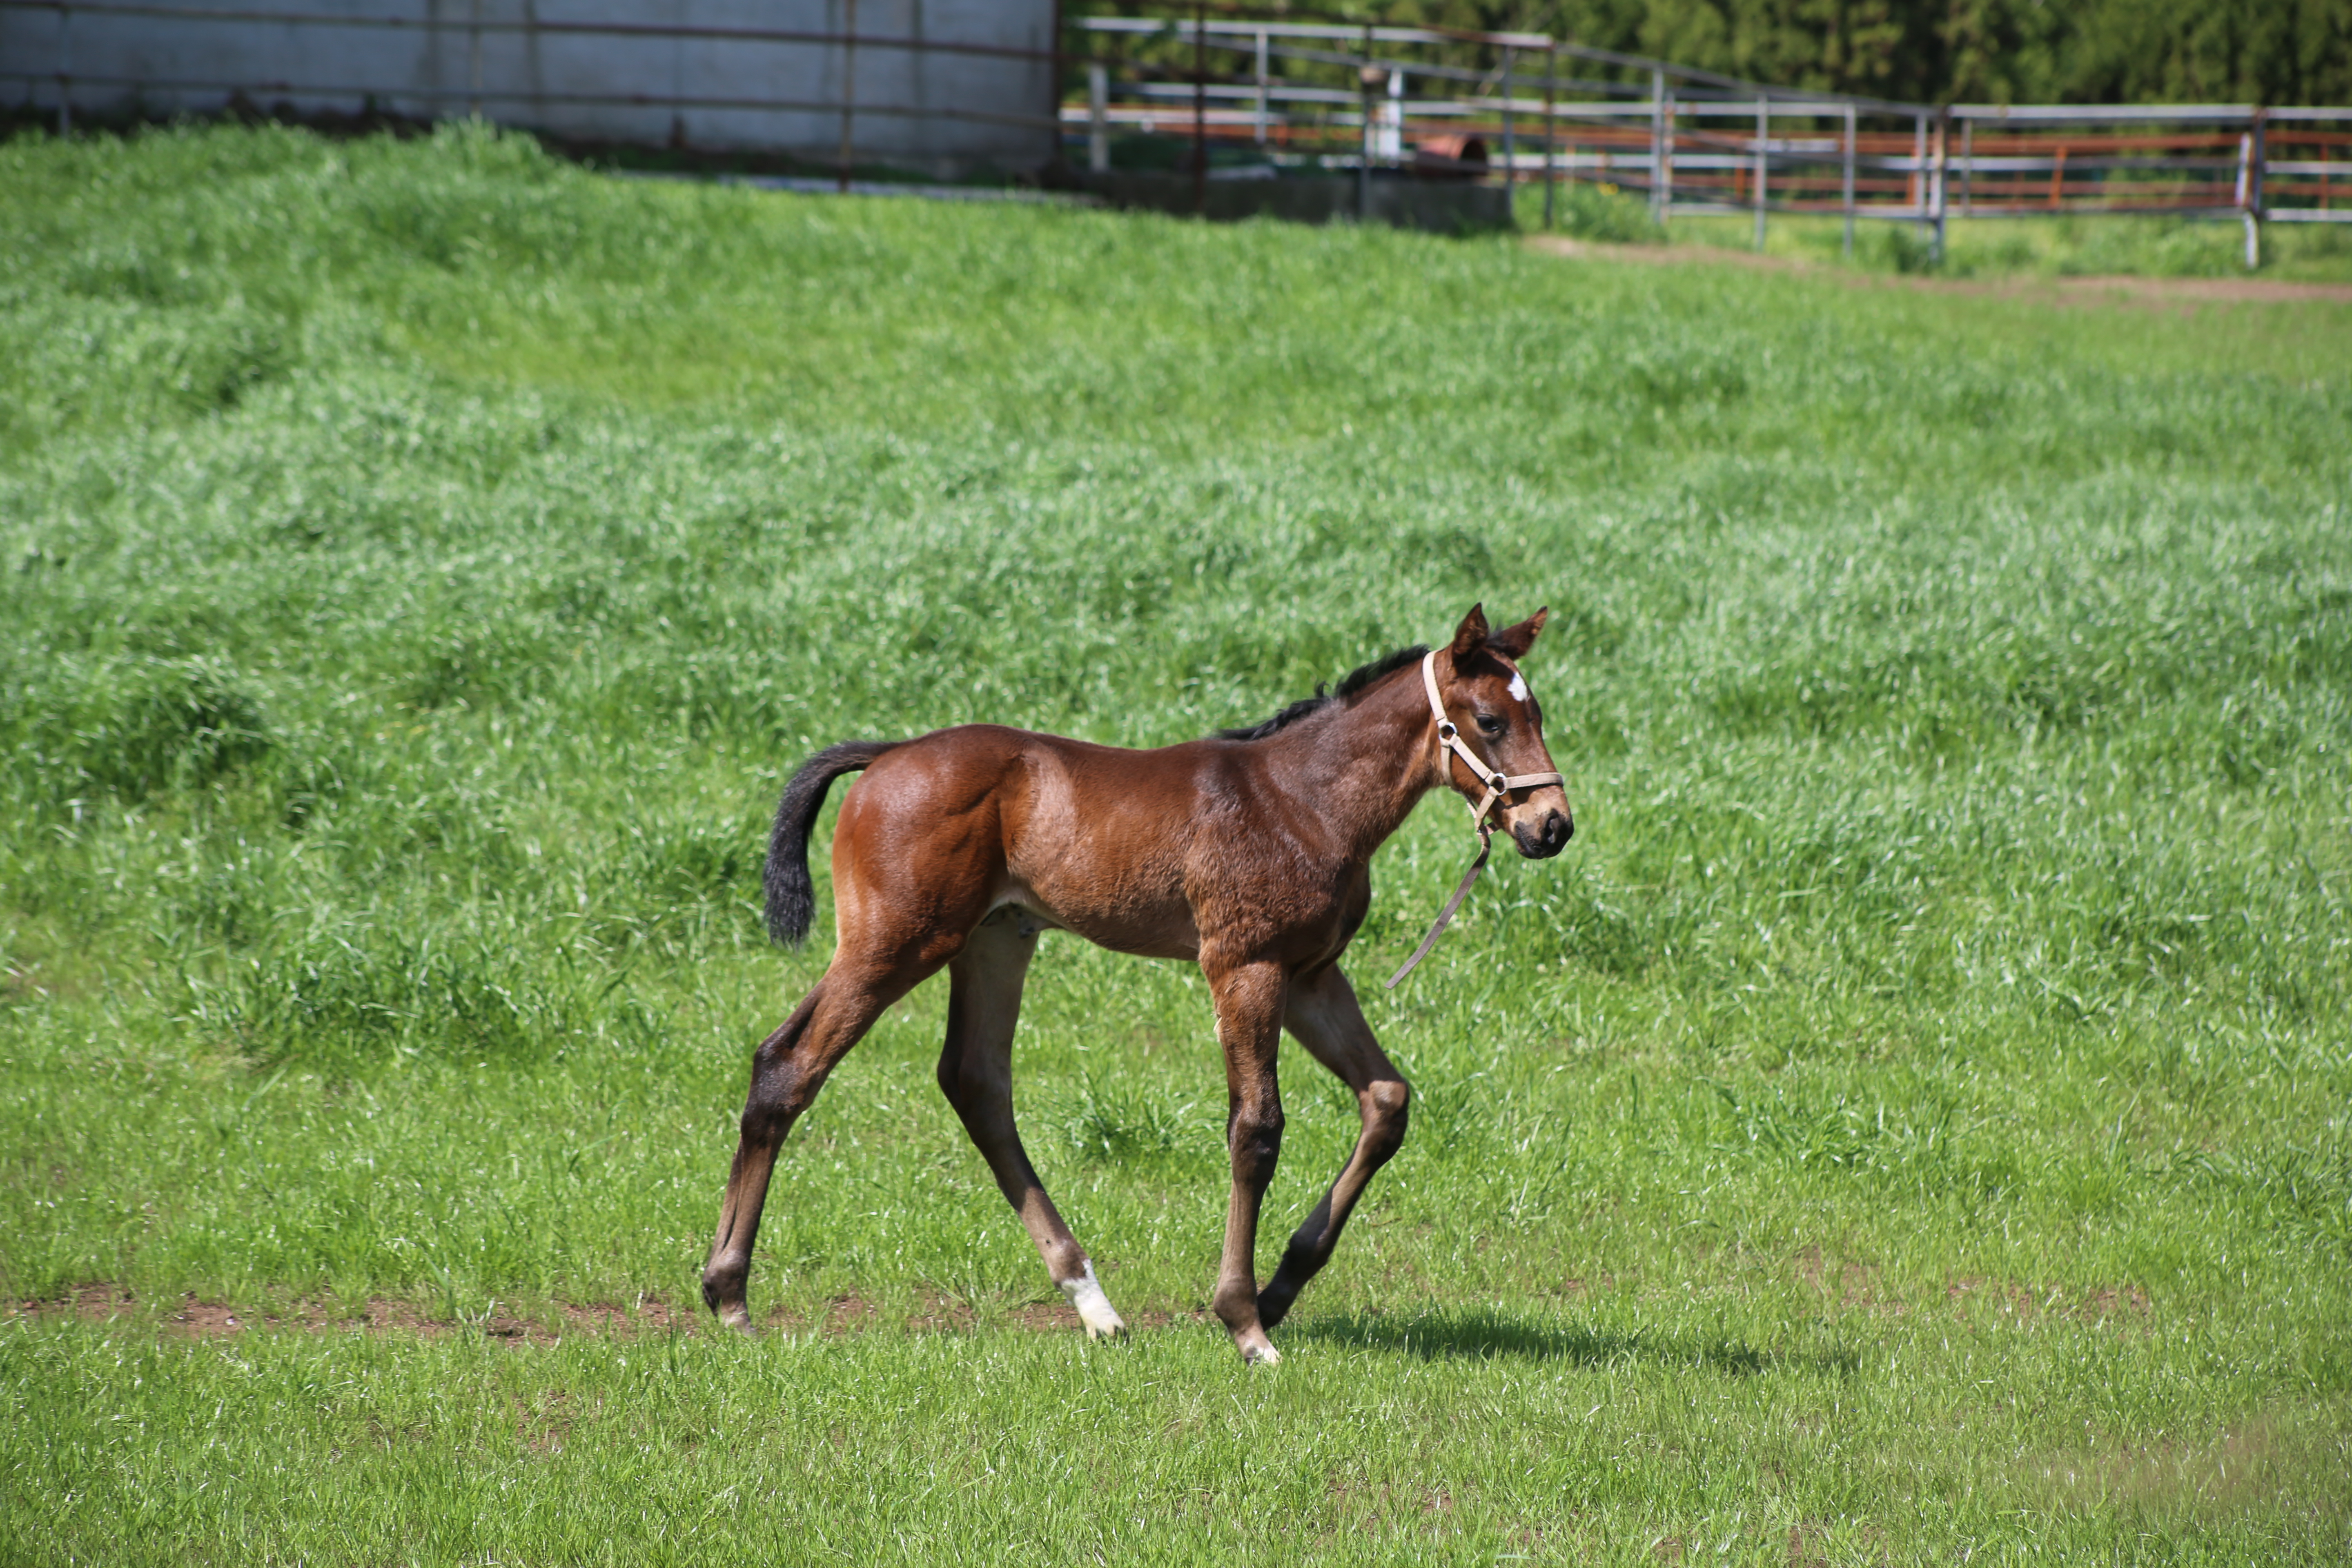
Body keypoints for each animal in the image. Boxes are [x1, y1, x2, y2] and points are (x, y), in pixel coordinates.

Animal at [701, 601, 1580, 1363]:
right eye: (1491, 722)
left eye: (1539, 715)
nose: (1552, 827)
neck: (1303, 799)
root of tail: (886, 754)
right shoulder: (1244, 967)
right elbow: (1256, 1129)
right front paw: (1244, 1323)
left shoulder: (1311, 976)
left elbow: (1387, 1100)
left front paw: (1282, 1287)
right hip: (895, 944)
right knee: (791, 1065)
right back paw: (730, 1296)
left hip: (994, 941)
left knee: (975, 1082)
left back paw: (1093, 1303)